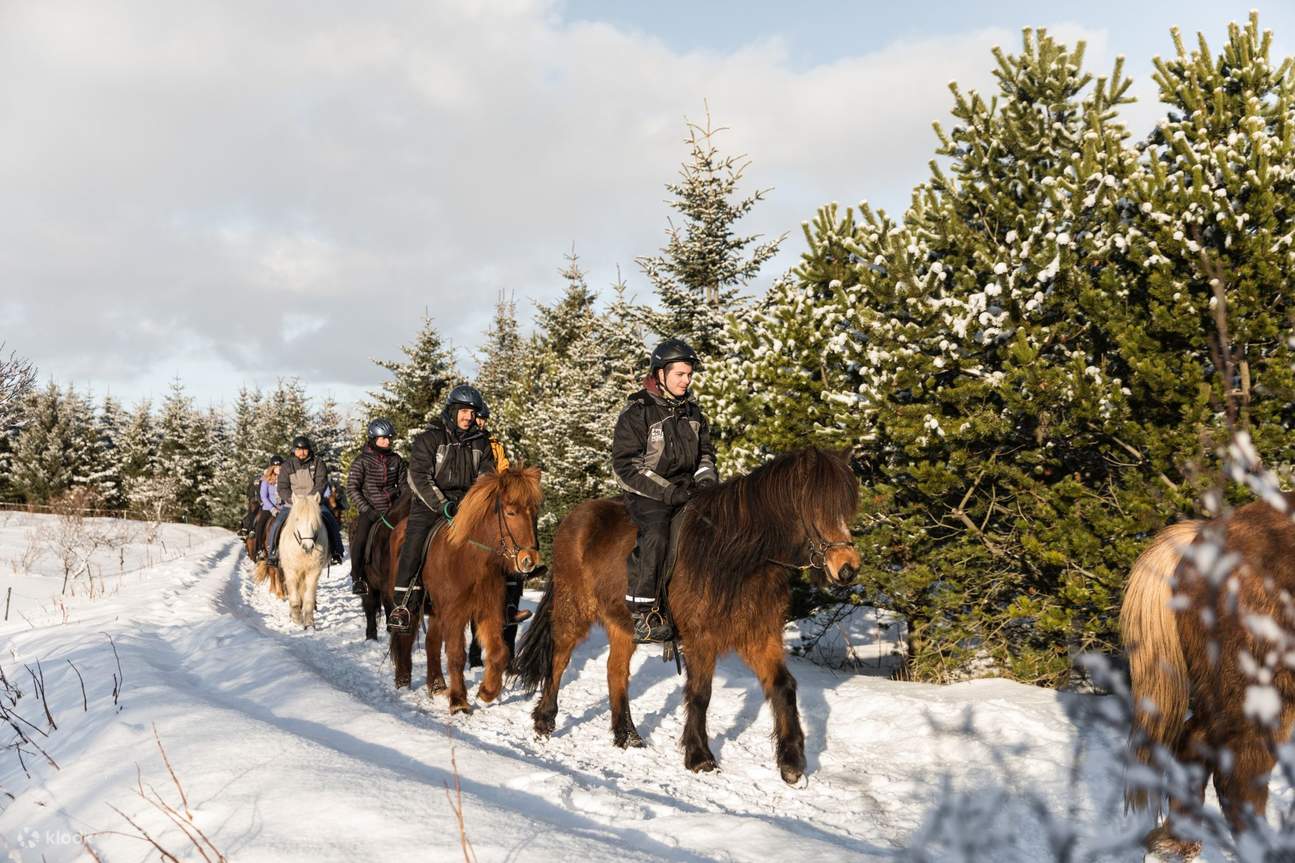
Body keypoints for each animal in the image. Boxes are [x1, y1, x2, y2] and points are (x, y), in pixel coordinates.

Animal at [280, 491, 330, 628]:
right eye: (297, 519)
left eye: (315, 520)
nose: (308, 546)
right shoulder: (290, 571)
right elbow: (294, 598)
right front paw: (296, 621)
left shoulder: (313, 572)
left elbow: (308, 599)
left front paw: (309, 623)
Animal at [387, 466, 543, 712]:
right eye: (510, 512)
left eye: (535, 512)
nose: (529, 560)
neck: (472, 560)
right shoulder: (455, 614)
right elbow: (456, 655)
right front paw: (459, 701)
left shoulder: (488, 611)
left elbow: (499, 653)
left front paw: (486, 692)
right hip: (411, 604)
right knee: (406, 635)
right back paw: (403, 680)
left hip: (437, 611)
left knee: (431, 642)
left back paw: (437, 685)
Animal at [511, 446, 860, 784]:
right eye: (816, 506)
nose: (848, 568)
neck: (738, 558)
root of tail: (574, 517)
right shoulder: (701, 638)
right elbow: (701, 693)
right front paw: (699, 757)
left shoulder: (760, 635)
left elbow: (783, 686)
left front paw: (791, 765)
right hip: (575, 607)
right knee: (559, 659)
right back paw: (544, 721)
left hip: (622, 623)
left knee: (616, 671)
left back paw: (627, 736)